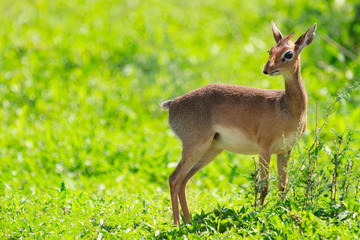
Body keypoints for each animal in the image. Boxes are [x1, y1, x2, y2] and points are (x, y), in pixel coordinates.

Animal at [162, 21, 316, 225]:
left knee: (183, 180)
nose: (266, 69)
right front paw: (259, 214)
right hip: (196, 146)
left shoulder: (284, 150)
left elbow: (282, 186)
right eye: (270, 50)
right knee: (174, 178)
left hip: (211, 150)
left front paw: (281, 213)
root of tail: (172, 104)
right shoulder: (265, 148)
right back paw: (177, 224)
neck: (287, 108)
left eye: (288, 53)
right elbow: (264, 186)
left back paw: (188, 222)